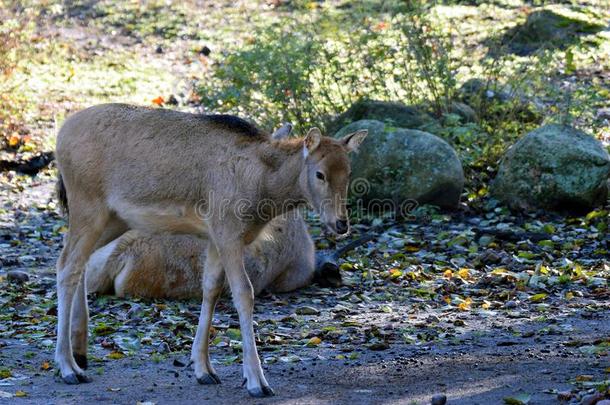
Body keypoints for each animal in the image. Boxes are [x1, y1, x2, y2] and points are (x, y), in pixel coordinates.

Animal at [53, 102, 366, 396]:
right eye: (320, 174)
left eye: (349, 171)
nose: (341, 223)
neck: (260, 190)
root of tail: (60, 135)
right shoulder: (228, 233)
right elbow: (243, 294)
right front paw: (256, 381)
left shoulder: (215, 238)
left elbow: (211, 289)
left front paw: (204, 369)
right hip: (86, 206)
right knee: (66, 266)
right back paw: (68, 367)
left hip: (113, 219)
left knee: (77, 262)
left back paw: (81, 354)